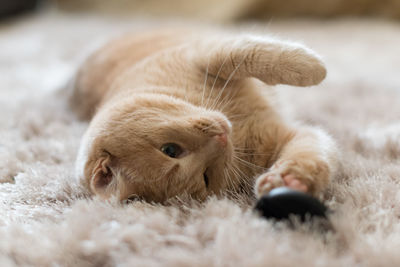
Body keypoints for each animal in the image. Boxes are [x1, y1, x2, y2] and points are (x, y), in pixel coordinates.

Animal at [70, 28, 340, 203]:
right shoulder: (286, 138)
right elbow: (309, 155)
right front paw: (291, 182)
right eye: (206, 177)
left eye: (170, 149)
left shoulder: (203, 53)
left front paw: (311, 67)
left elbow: (252, 53)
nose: (221, 138)